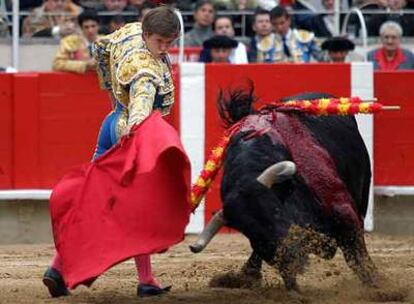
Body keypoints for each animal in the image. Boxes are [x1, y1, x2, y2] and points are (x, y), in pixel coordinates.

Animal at [191, 88, 378, 290]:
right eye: (248, 231)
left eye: (276, 210)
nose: (290, 256)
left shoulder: (344, 212)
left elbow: (359, 259)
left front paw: (380, 287)